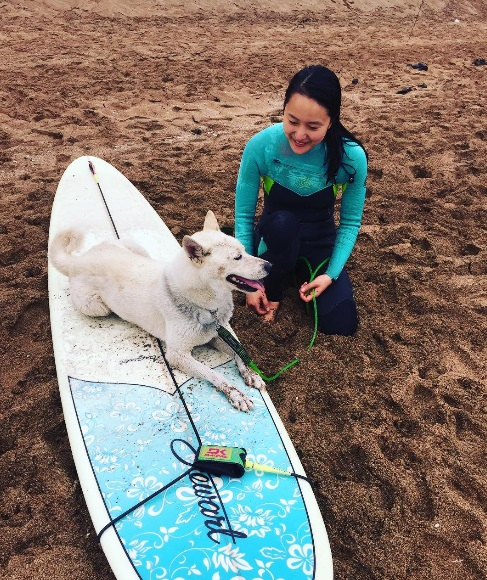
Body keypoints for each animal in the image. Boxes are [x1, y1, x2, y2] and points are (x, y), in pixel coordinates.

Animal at [50, 213, 272, 412]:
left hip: (137, 249)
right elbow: (214, 374)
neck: (203, 303)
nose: (270, 265)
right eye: (237, 257)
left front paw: (251, 373)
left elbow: (239, 353)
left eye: (244, 250)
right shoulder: (177, 355)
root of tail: (80, 259)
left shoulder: (218, 334)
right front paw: (236, 393)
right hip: (96, 307)